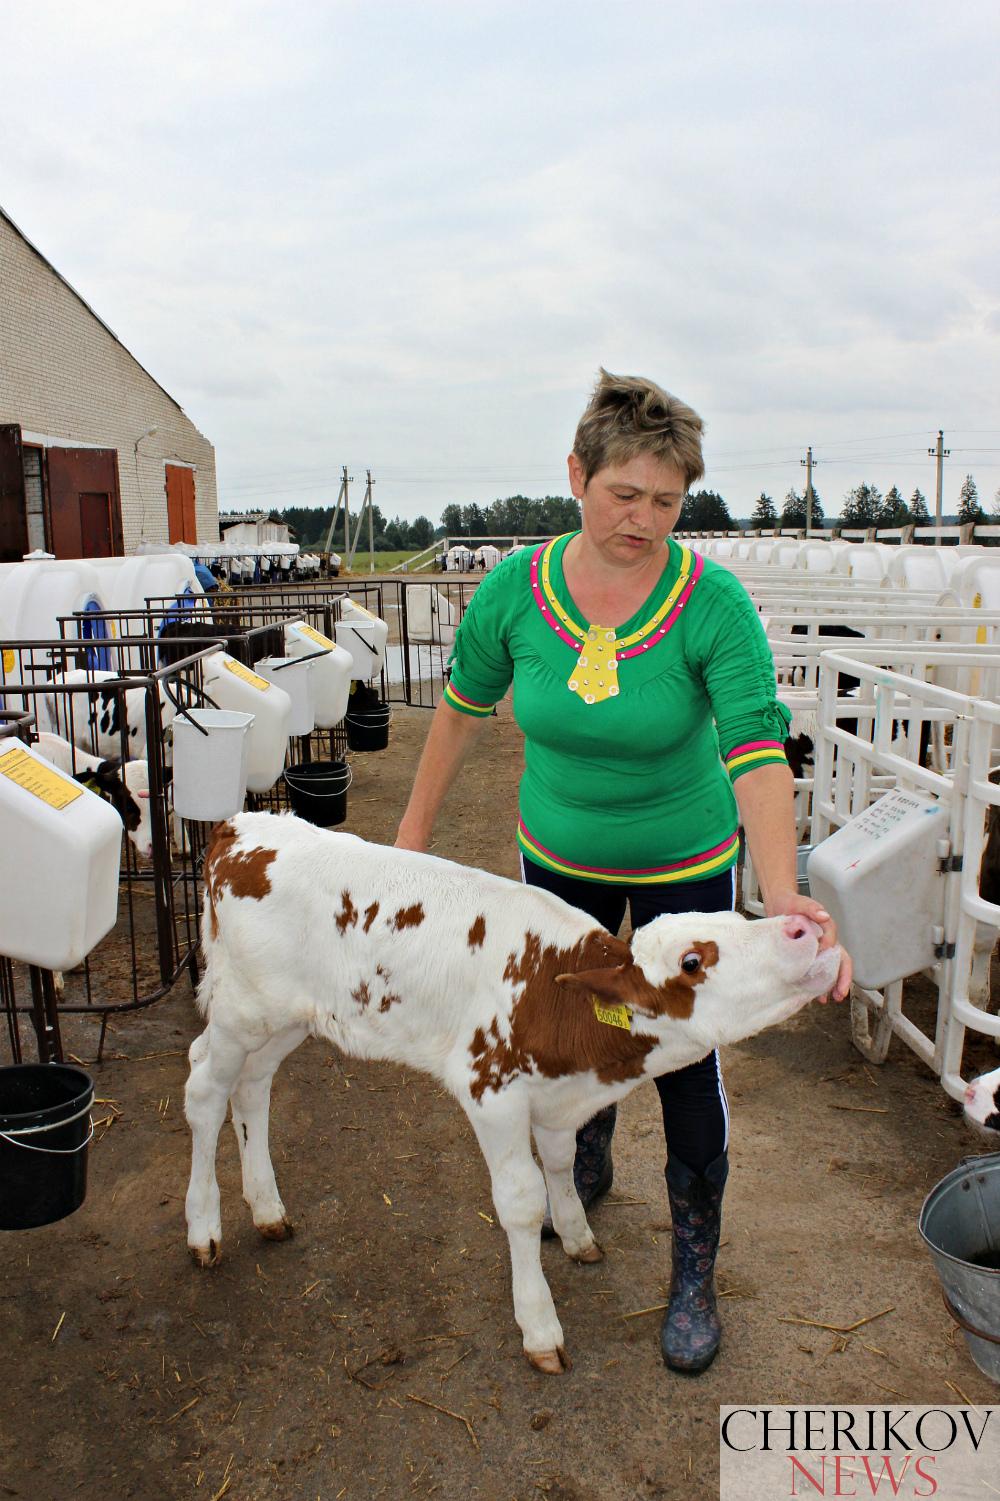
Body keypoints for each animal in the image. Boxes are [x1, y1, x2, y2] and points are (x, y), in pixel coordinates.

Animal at [183, 816, 834, 1374]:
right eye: (692, 961)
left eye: (731, 917)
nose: (804, 927)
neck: (556, 1000)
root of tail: (242, 826)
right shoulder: (490, 1092)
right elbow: (520, 1200)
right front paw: (540, 1327)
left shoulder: (558, 1104)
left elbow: (562, 1164)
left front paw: (576, 1236)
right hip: (241, 1010)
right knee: (204, 1087)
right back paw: (203, 1230)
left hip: (288, 1018)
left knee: (253, 1088)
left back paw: (268, 1210)